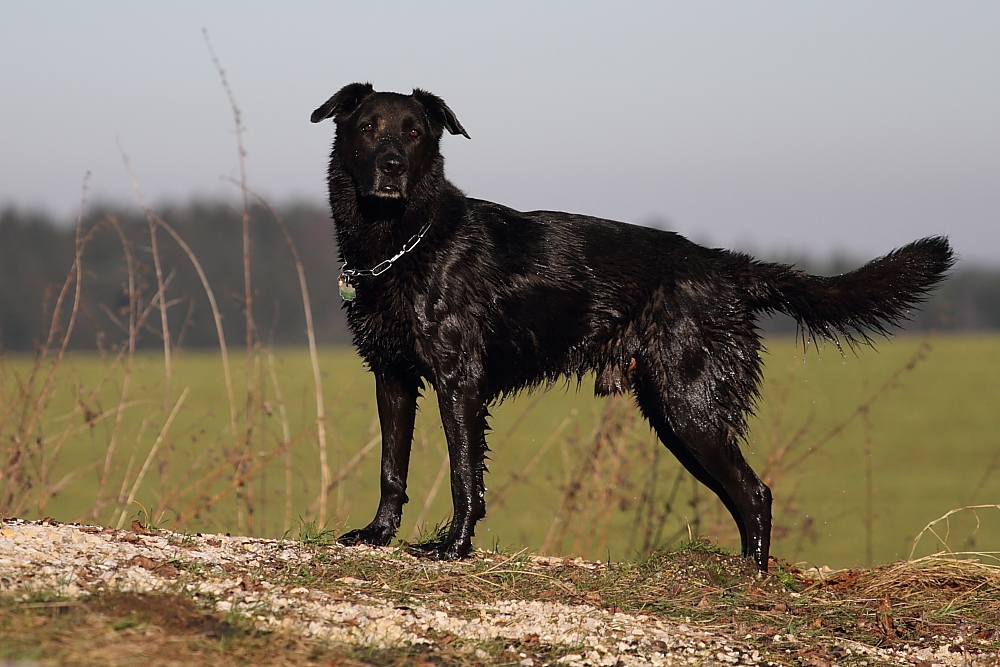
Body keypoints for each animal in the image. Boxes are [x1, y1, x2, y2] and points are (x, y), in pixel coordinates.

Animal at [310, 83, 952, 572]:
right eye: (368, 127)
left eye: (415, 133)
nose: (391, 167)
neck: (402, 241)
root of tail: (724, 264)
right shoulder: (392, 378)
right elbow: (392, 468)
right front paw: (377, 535)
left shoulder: (458, 383)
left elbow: (465, 474)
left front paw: (455, 547)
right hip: (677, 420)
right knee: (746, 495)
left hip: (690, 410)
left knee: (755, 493)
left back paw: (750, 578)